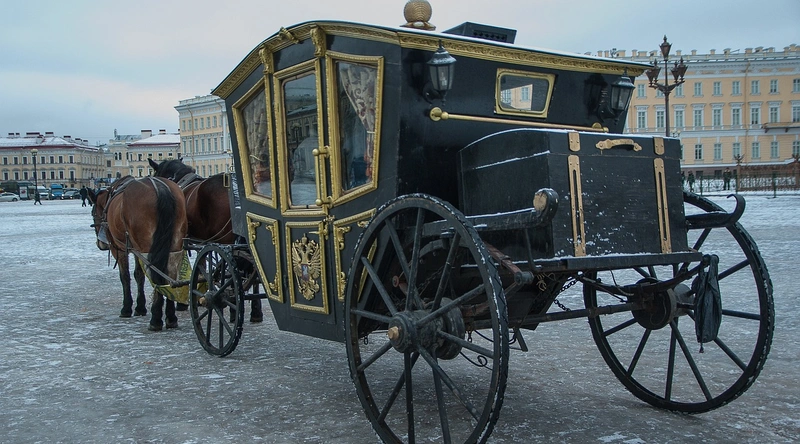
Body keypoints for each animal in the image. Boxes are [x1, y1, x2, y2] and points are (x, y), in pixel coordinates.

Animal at [88, 176, 189, 331]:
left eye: (93, 213)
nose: (100, 244)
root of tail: (160, 188)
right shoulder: (136, 250)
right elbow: (139, 275)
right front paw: (140, 307)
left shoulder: (120, 249)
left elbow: (125, 276)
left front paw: (127, 308)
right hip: (174, 245)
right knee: (170, 276)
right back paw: (171, 317)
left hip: (147, 247)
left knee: (156, 274)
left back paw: (156, 319)